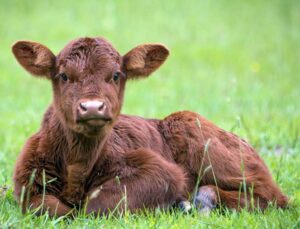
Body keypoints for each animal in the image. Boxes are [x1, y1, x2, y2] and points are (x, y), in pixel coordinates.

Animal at [12, 37, 288, 216]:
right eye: (64, 76)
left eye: (116, 75)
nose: (92, 107)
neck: (77, 167)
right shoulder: (25, 183)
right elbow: (45, 206)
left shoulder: (161, 171)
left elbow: (95, 205)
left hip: (200, 135)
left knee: (275, 197)